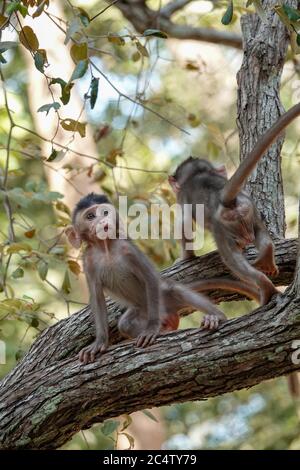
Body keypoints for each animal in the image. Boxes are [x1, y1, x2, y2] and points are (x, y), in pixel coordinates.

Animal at [65, 193, 260, 362]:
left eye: (105, 212)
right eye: (91, 216)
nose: (103, 220)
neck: (106, 248)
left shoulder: (129, 251)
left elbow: (149, 277)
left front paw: (151, 329)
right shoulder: (88, 261)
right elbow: (97, 296)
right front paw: (99, 342)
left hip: (164, 298)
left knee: (177, 291)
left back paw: (215, 317)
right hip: (142, 308)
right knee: (125, 324)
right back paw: (167, 327)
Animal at [169, 102, 300, 304]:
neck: (198, 174)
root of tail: (225, 197)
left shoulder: (182, 199)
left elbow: (183, 225)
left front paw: (185, 259)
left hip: (222, 228)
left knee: (233, 261)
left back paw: (265, 286)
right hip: (251, 210)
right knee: (263, 236)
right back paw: (266, 259)